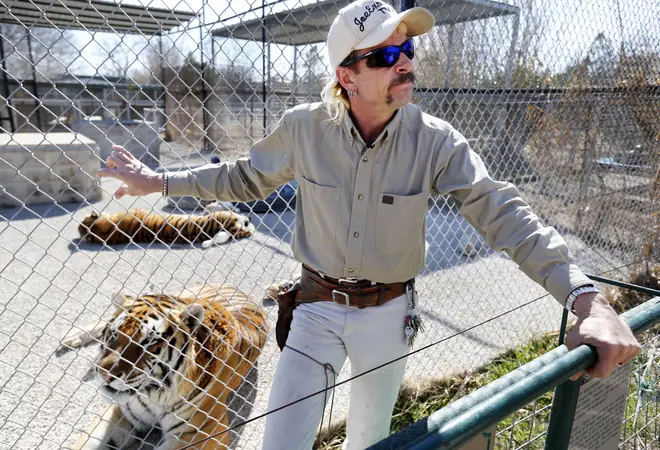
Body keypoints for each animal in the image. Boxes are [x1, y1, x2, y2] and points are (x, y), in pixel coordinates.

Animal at [62, 284, 268, 450]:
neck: (155, 394)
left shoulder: (203, 434)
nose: (104, 374)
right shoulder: (119, 412)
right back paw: (72, 337)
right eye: (114, 334)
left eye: (148, 343)